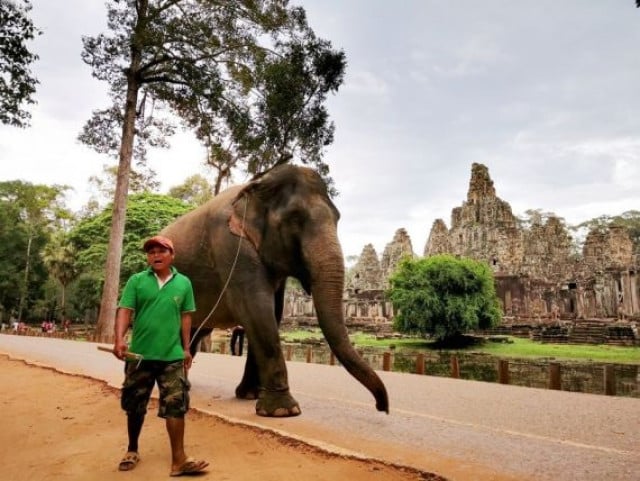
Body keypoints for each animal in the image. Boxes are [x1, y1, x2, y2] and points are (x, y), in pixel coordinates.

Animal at [160, 164, 390, 416]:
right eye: (295, 218)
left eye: (337, 218)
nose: (382, 407)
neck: (257, 185)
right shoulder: (230, 245)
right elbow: (256, 309)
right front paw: (283, 411)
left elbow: (274, 312)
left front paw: (250, 396)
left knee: (194, 332)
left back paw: (184, 386)